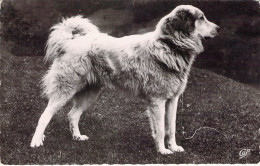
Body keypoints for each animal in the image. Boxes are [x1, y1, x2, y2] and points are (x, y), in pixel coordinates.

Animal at [31, 5, 219, 156]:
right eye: (201, 18)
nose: (218, 28)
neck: (169, 46)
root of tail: (69, 42)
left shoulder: (172, 100)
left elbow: (170, 128)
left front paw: (173, 147)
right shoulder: (157, 101)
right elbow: (160, 129)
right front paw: (163, 151)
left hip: (90, 93)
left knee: (73, 114)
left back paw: (77, 136)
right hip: (65, 90)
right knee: (44, 116)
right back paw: (36, 141)